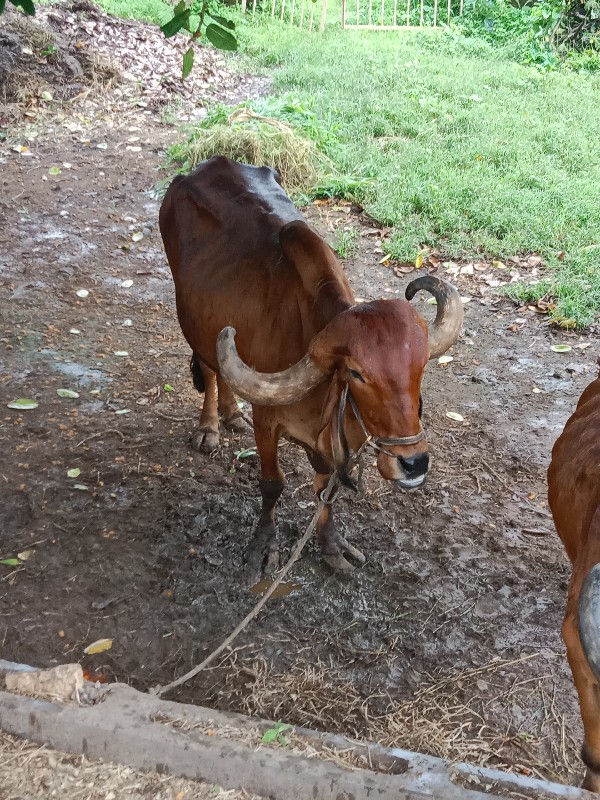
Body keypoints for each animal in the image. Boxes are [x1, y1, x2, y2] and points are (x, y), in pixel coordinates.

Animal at [159, 155, 464, 568]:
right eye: (357, 374)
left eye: (420, 367)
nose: (414, 463)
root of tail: (197, 169)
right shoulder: (267, 422)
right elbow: (272, 484)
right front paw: (264, 544)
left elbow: (325, 491)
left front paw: (331, 544)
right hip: (192, 321)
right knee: (209, 367)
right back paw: (210, 426)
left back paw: (231, 413)